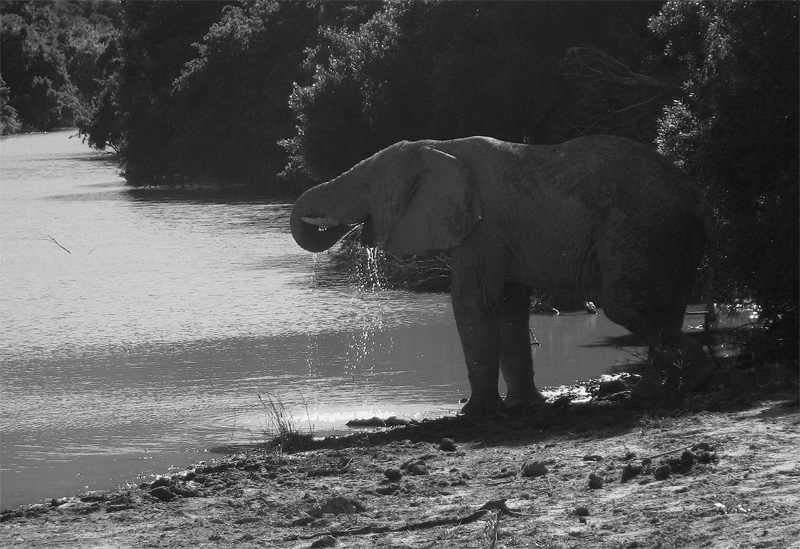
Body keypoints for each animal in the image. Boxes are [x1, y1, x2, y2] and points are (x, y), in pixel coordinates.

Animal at [290, 135, 714, 413]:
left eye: (368, 185)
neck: (441, 146)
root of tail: (698, 196)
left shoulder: (483, 228)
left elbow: (473, 302)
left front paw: (473, 414)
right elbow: (510, 308)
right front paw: (525, 405)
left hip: (642, 230)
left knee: (627, 305)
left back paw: (684, 383)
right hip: (669, 238)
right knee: (664, 307)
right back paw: (659, 389)